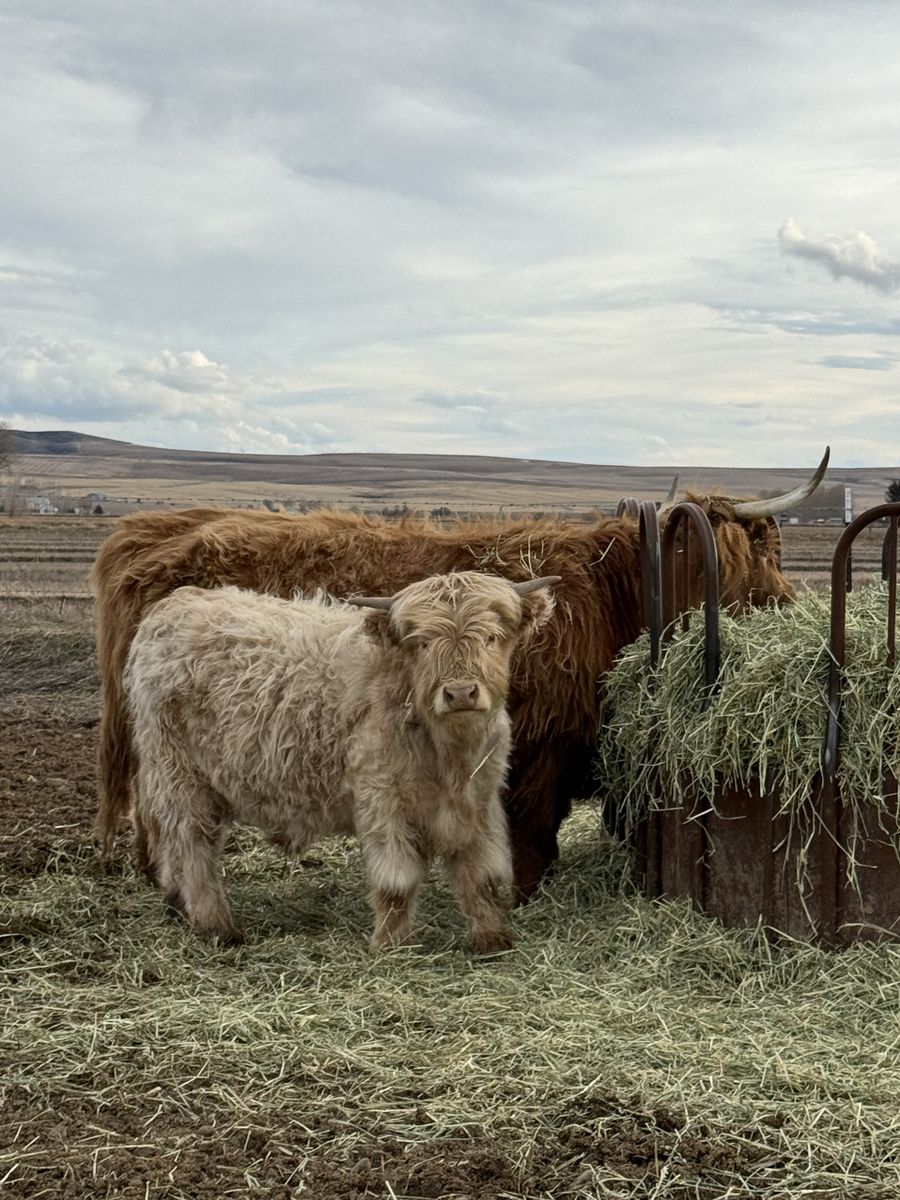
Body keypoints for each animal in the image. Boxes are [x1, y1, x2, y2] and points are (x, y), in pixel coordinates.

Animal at [92, 450, 829, 900]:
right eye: (763, 558)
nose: (792, 602)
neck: (614, 593)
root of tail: (147, 535)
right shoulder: (541, 746)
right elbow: (531, 825)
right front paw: (522, 890)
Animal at [124, 572, 557, 952]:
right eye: (422, 643)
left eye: (491, 637)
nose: (461, 692)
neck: (449, 754)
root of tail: (175, 605)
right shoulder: (381, 800)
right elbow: (397, 881)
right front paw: (391, 946)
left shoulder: (479, 801)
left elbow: (482, 876)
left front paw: (493, 940)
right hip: (180, 774)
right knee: (191, 844)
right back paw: (216, 926)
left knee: (172, 841)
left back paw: (176, 902)